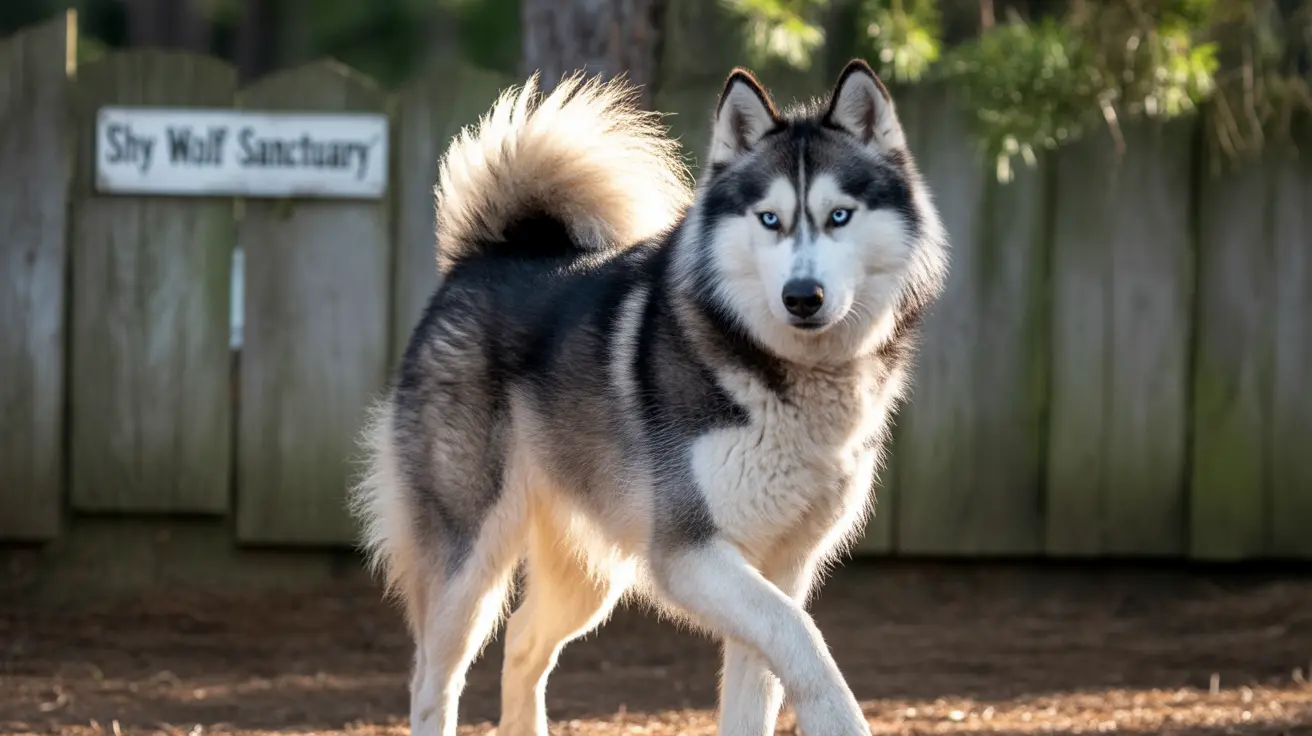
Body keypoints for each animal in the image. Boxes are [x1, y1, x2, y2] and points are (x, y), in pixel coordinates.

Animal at [350, 58, 949, 736]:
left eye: (839, 216)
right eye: (769, 219)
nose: (802, 296)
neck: (792, 379)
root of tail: (485, 257)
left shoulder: (780, 565)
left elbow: (765, 671)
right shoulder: (689, 553)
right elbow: (800, 634)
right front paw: (839, 719)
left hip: (588, 574)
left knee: (524, 643)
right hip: (467, 563)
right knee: (434, 680)